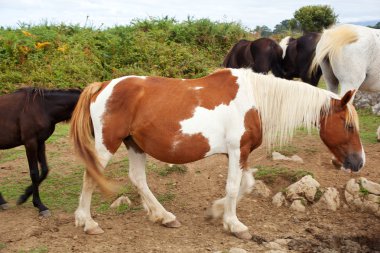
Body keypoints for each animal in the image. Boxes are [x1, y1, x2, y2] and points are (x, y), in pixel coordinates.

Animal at [0, 88, 81, 216]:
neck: (43, 108)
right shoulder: (30, 143)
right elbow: (34, 173)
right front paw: (40, 206)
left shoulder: (40, 142)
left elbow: (44, 170)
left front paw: (24, 197)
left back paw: (2, 202)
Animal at [70, 68, 366, 239]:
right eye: (349, 125)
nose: (359, 162)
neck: (255, 101)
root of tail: (101, 86)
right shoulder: (237, 151)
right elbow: (234, 187)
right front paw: (234, 225)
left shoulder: (240, 154)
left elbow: (246, 184)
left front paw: (215, 212)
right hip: (107, 146)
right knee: (91, 177)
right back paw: (87, 222)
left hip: (134, 145)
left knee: (138, 179)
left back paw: (164, 216)